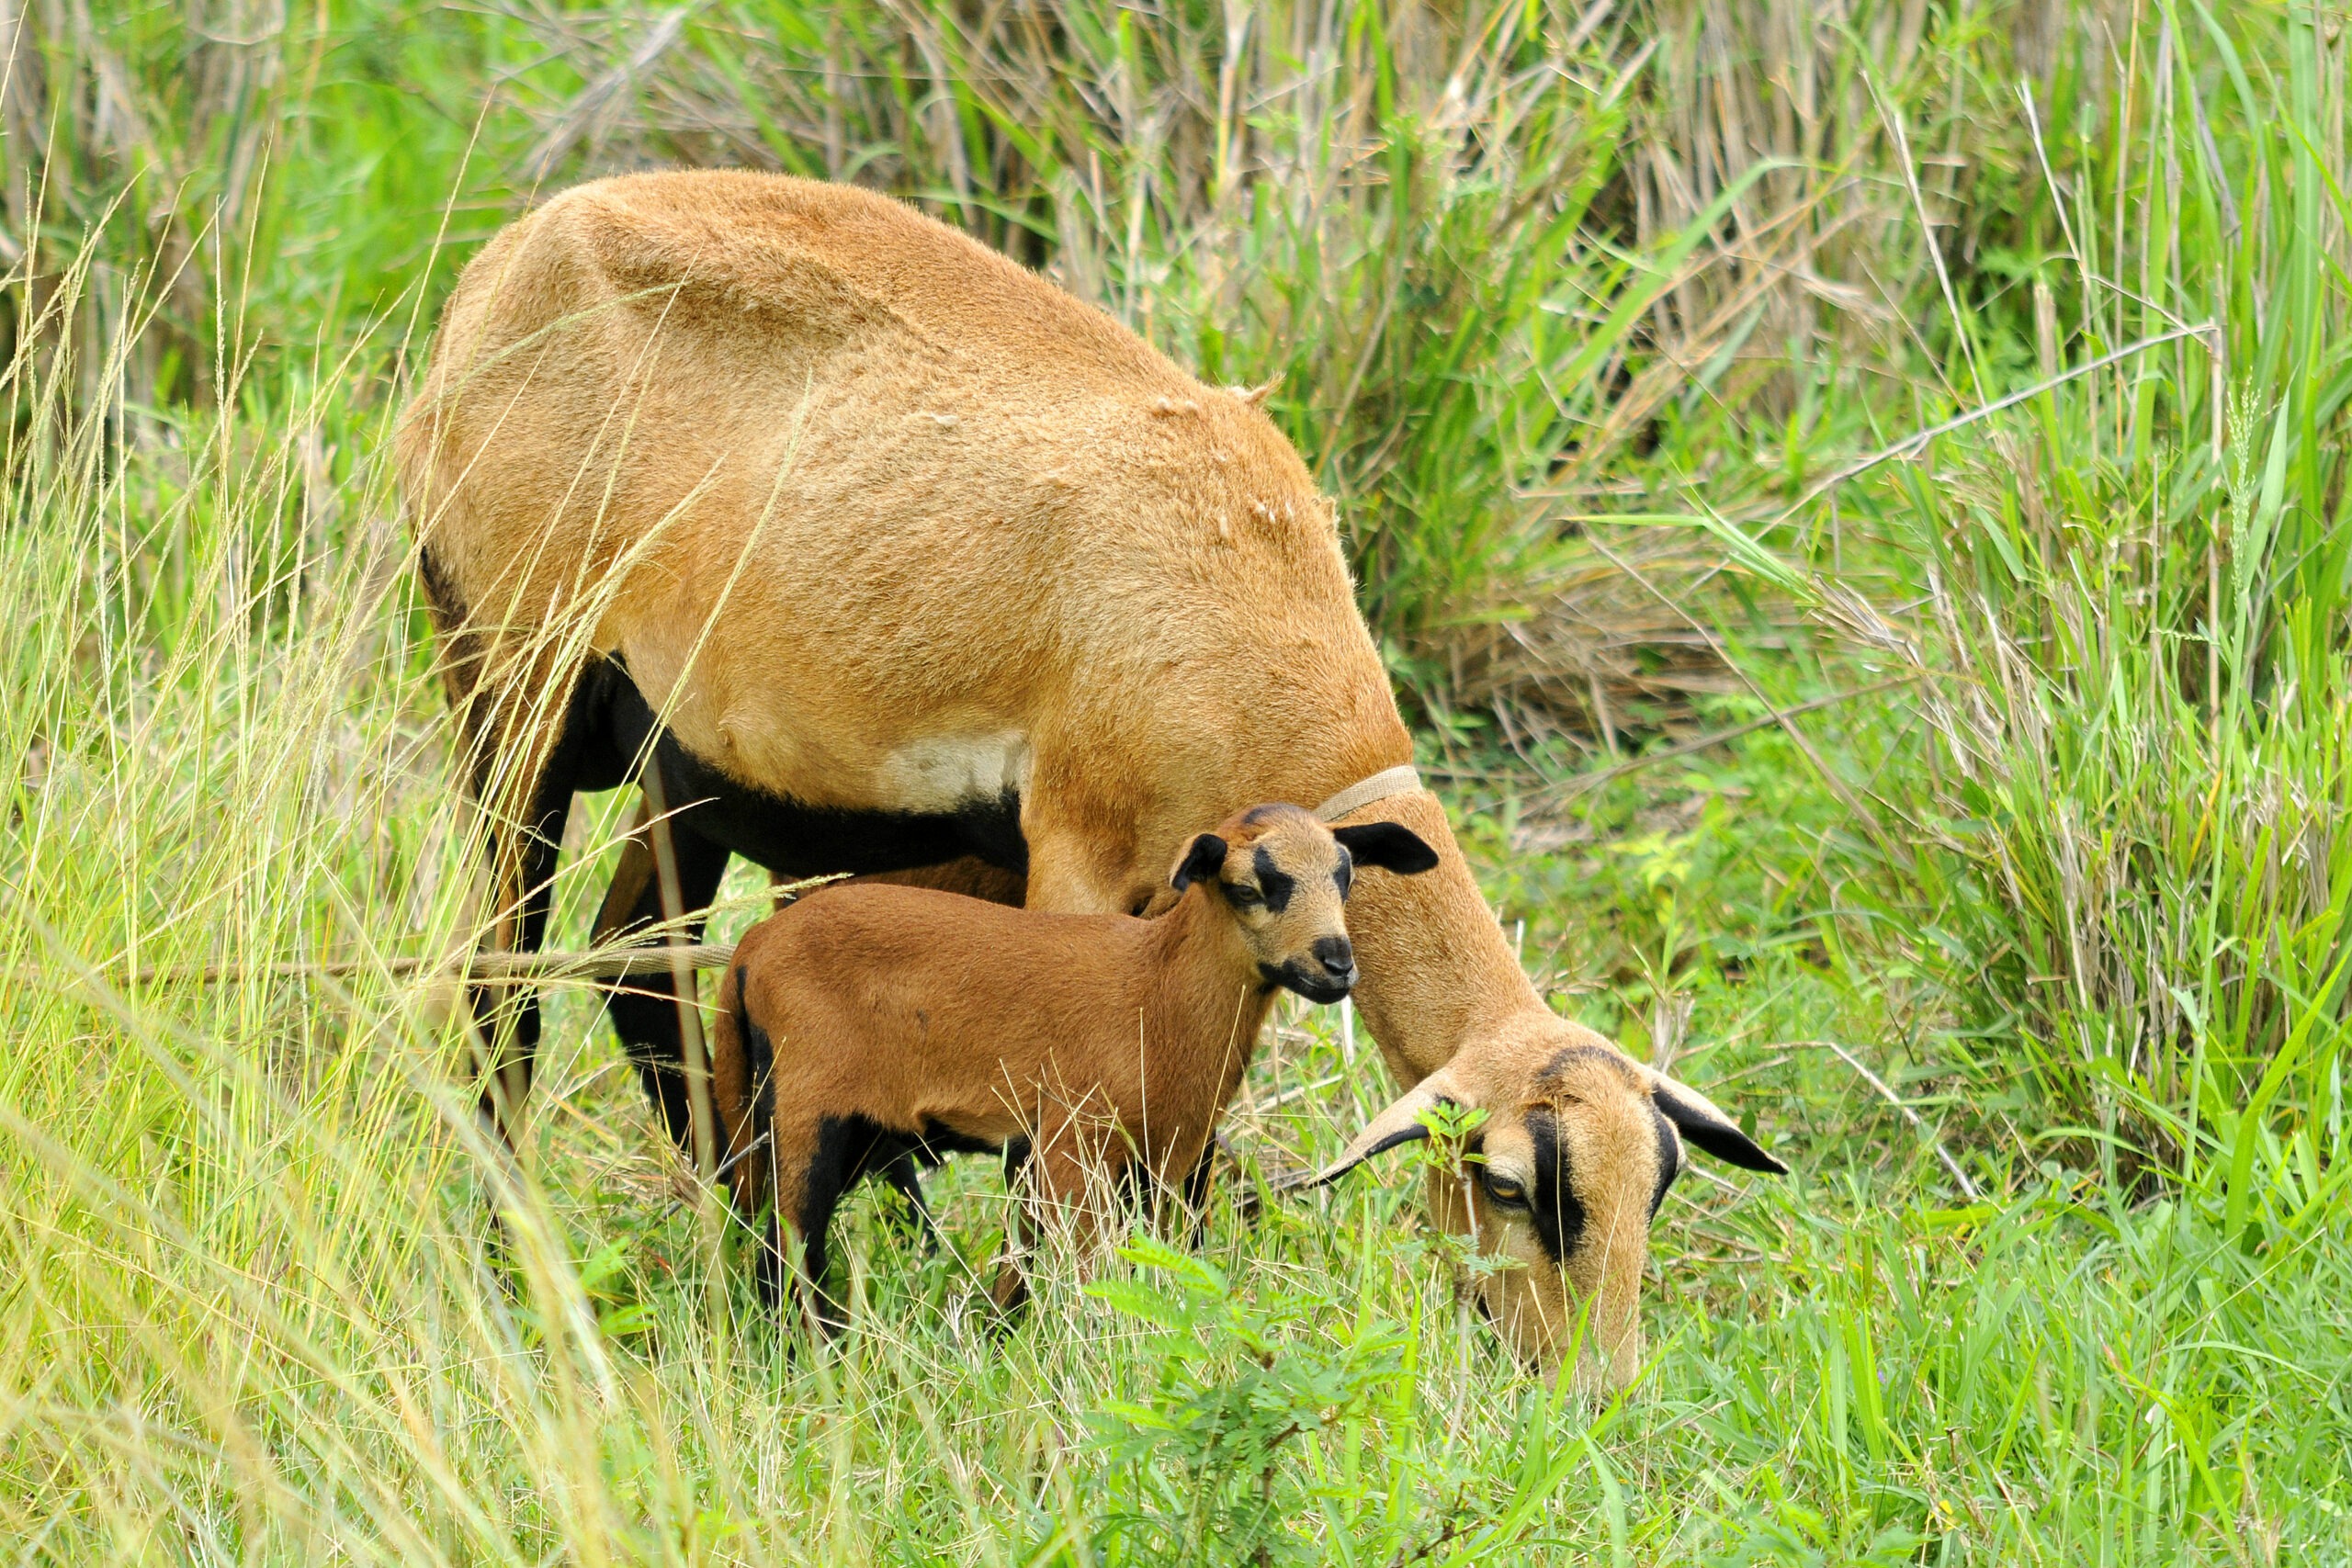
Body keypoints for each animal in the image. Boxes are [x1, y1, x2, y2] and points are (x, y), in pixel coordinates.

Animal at [708, 804, 1439, 1321]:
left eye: (1345, 875)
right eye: (1248, 886)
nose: (1338, 963)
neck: (1156, 990)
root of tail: (752, 949)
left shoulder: (1157, 1160)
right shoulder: (1069, 1142)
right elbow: (1075, 1277)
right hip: (809, 1109)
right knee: (789, 1256)